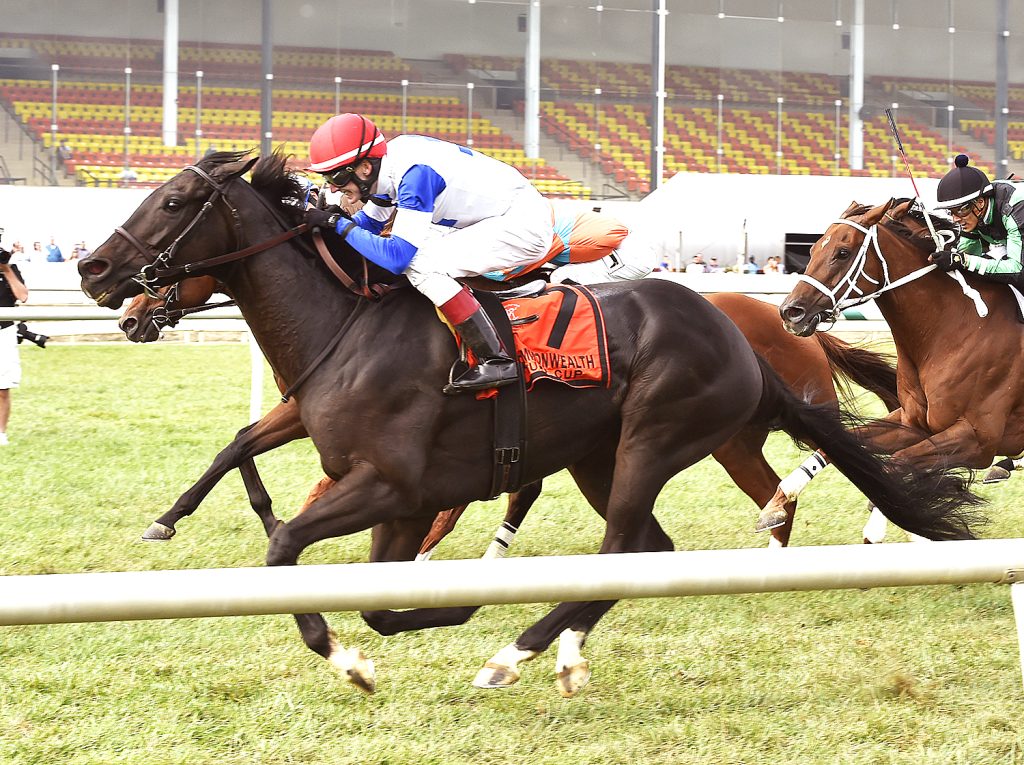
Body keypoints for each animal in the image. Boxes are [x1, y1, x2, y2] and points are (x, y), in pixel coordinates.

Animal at [77, 152, 974, 696]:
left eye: (175, 200)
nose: (93, 268)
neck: (348, 323)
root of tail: (742, 339)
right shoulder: (397, 498)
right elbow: (370, 590)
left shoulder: (388, 484)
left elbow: (287, 548)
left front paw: (365, 653)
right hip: (598, 456)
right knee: (645, 550)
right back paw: (560, 648)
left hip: (656, 436)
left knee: (624, 547)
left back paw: (515, 652)